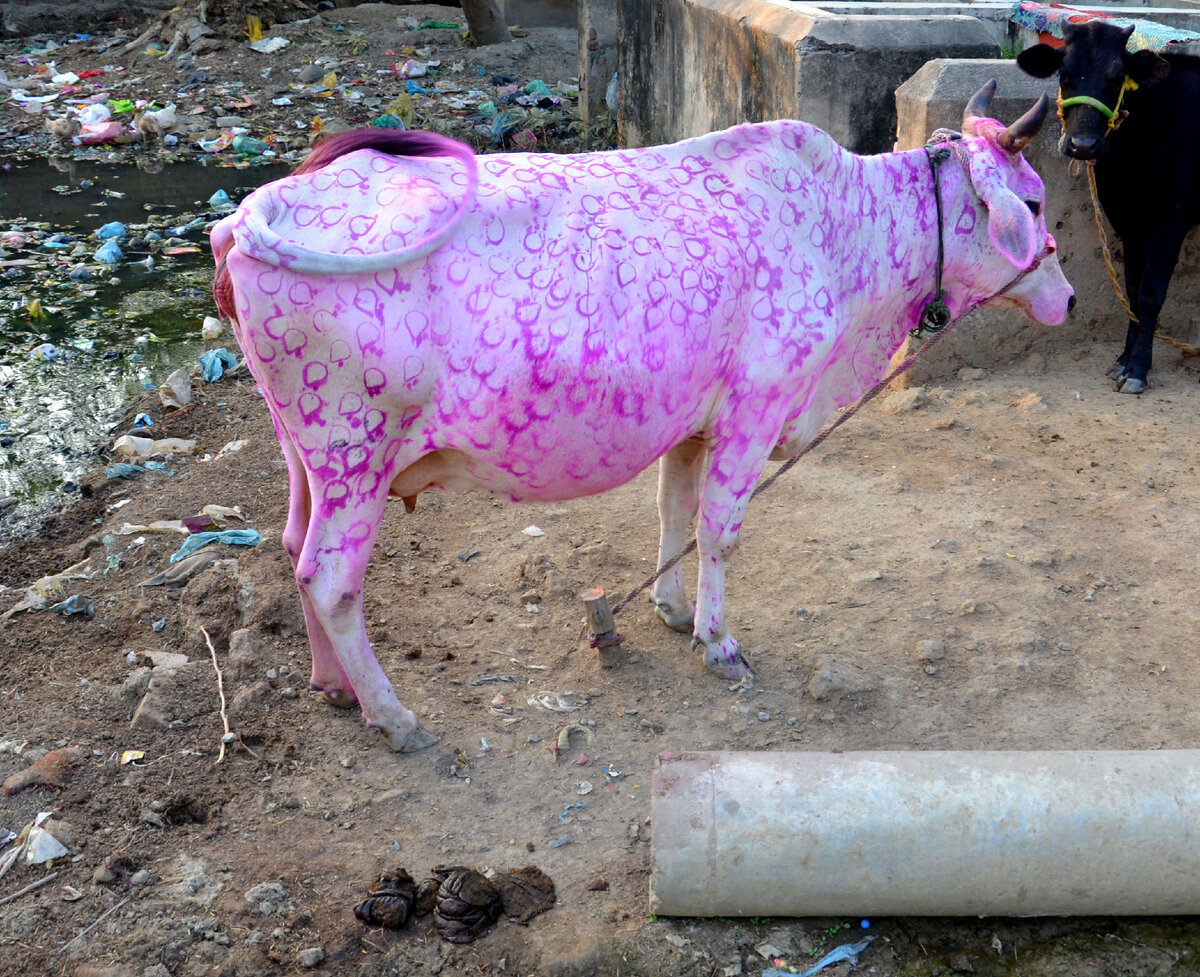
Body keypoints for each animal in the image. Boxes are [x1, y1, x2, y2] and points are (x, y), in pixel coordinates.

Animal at [210, 82, 1074, 752]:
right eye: (1033, 202)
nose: (1066, 296)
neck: (842, 229)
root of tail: (252, 209)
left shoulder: (693, 420)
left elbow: (675, 509)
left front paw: (672, 607)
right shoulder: (758, 405)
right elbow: (721, 528)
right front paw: (718, 641)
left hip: (306, 452)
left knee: (293, 546)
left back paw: (335, 685)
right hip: (355, 451)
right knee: (331, 578)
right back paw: (393, 715)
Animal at [1018, 18, 1198, 394]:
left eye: (1118, 77)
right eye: (1064, 74)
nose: (1083, 145)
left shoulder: (1171, 220)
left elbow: (1150, 293)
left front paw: (1138, 369)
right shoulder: (1128, 222)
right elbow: (1131, 290)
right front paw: (1123, 360)